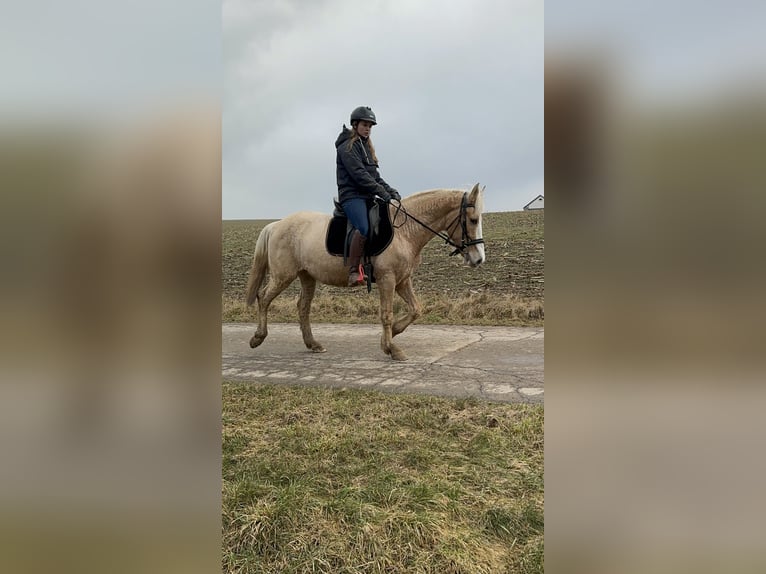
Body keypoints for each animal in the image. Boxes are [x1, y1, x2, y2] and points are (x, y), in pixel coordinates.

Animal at [246, 182, 486, 362]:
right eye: (473, 220)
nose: (479, 259)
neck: (404, 231)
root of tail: (276, 225)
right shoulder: (388, 279)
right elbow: (386, 314)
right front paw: (392, 348)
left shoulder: (402, 280)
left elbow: (416, 309)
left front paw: (391, 336)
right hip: (283, 276)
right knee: (263, 298)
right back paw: (257, 337)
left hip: (307, 276)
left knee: (302, 307)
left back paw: (313, 344)